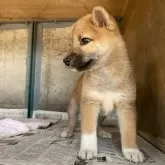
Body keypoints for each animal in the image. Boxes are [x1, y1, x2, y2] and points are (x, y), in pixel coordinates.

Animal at [61, 5, 144, 163]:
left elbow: (129, 131)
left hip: (104, 113)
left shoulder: (126, 106)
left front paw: (132, 150)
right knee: (72, 121)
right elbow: (88, 131)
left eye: (85, 40)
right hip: (73, 107)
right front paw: (88, 149)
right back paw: (68, 131)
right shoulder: (89, 104)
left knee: (98, 123)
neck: (105, 73)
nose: (65, 61)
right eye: (70, 44)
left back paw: (102, 132)